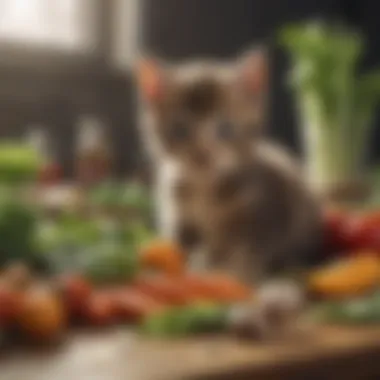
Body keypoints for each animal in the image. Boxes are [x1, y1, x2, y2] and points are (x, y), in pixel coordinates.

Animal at [135, 49, 322, 284]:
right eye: (180, 130)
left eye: (226, 128)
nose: (202, 154)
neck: (205, 191)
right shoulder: (179, 217)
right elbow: (179, 249)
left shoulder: (262, 219)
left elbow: (246, 255)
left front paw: (234, 276)